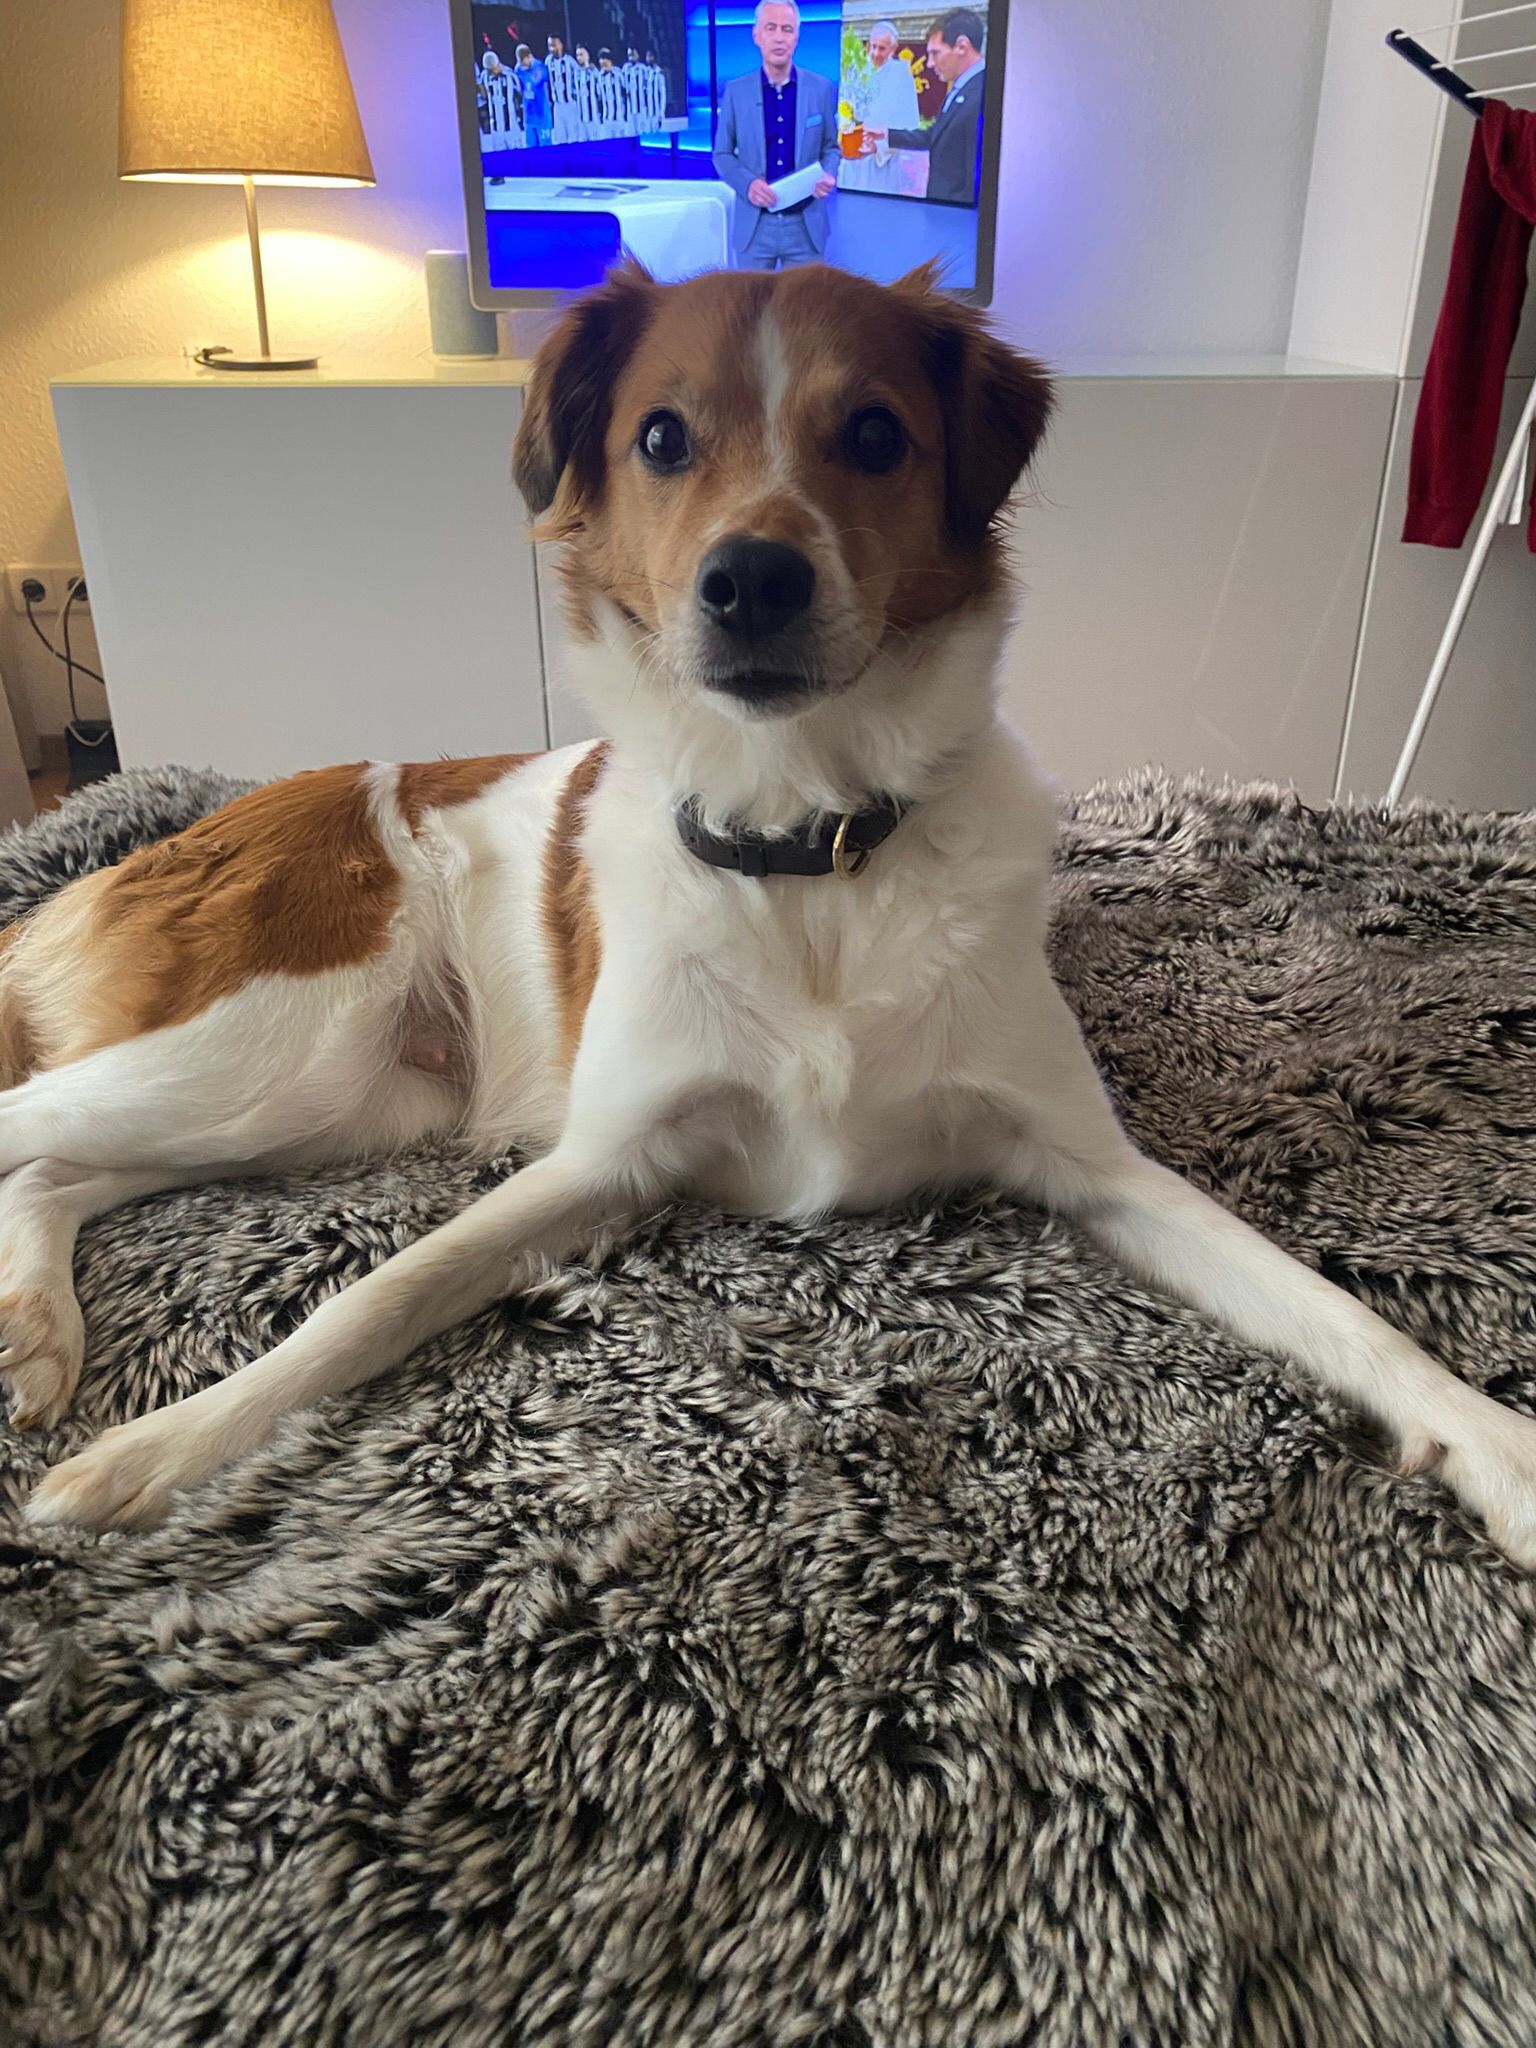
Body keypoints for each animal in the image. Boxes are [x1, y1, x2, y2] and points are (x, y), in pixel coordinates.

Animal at [12, 261, 1536, 1565]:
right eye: (662, 438)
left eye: (872, 433)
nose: (753, 578)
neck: (807, 852)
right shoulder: (601, 1158)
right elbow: (371, 1296)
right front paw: (161, 1450)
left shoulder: (1087, 1162)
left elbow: (1333, 1309)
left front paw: (1501, 1451)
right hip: (279, 1049)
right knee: (39, 1136)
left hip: (337, 1103)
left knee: (61, 1167)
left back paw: (35, 1332)